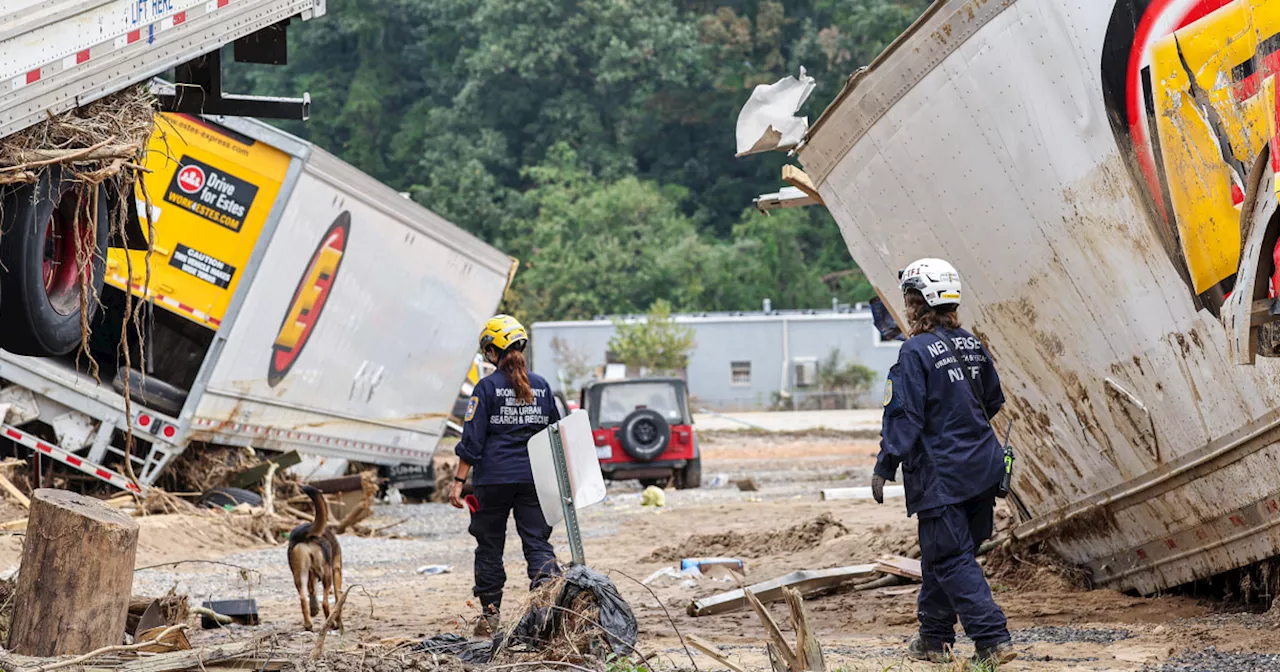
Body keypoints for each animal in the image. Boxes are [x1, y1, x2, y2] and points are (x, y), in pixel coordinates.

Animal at [288, 481, 343, 629]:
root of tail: (305, 533)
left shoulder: (311, 576)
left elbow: (312, 592)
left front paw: (314, 610)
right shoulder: (336, 571)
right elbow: (338, 598)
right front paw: (338, 620)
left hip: (299, 574)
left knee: (303, 599)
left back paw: (308, 624)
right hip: (326, 575)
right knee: (325, 602)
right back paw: (331, 623)